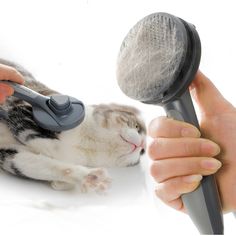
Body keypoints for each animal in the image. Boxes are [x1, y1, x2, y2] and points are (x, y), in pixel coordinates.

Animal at [0, 58, 146, 192]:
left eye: (143, 152)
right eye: (137, 127)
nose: (142, 145)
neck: (88, 145)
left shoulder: (8, 156)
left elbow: (34, 164)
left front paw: (89, 178)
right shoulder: (22, 111)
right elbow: (55, 147)